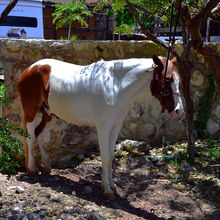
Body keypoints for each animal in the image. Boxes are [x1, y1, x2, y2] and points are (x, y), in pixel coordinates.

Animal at [17, 54, 183, 198]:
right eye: (166, 79)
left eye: (179, 80)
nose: (178, 111)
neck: (116, 86)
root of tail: (31, 68)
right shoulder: (103, 127)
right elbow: (104, 156)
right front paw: (107, 190)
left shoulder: (115, 126)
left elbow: (110, 156)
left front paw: (111, 185)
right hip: (32, 112)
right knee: (30, 137)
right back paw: (32, 169)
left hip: (51, 115)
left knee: (39, 134)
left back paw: (46, 167)